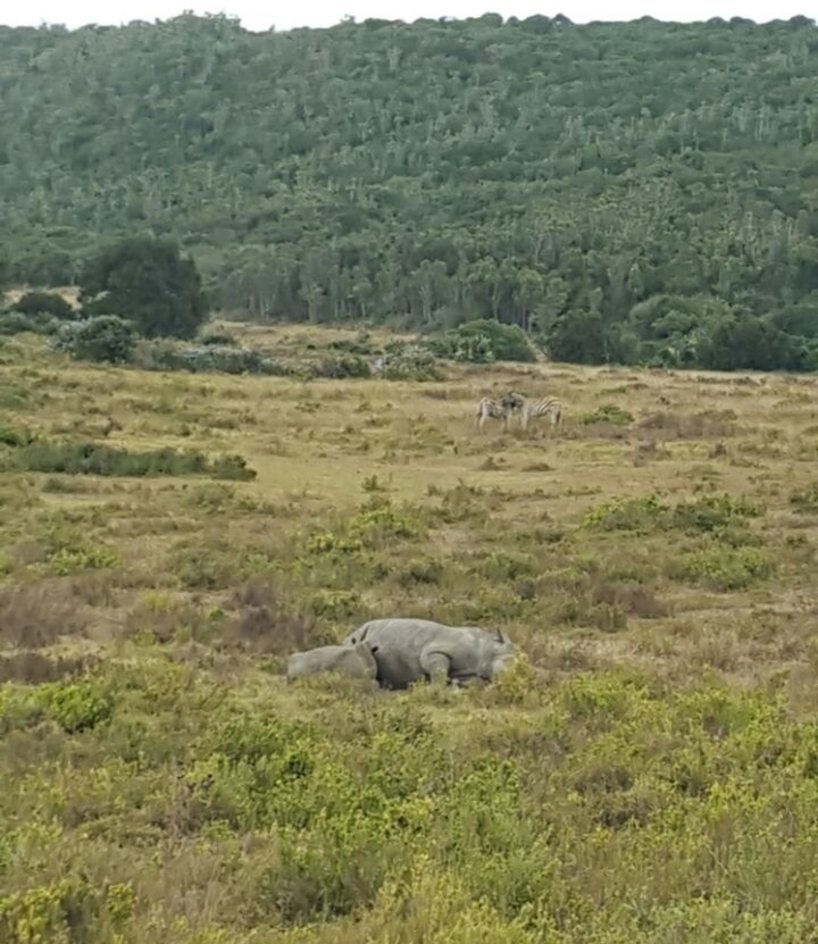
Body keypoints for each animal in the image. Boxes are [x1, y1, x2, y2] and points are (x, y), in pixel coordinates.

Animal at [342, 616, 512, 688]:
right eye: (508, 661)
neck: (487, 646)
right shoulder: (435, 651)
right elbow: (438, 672)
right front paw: (435, 689)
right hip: (356, 636)